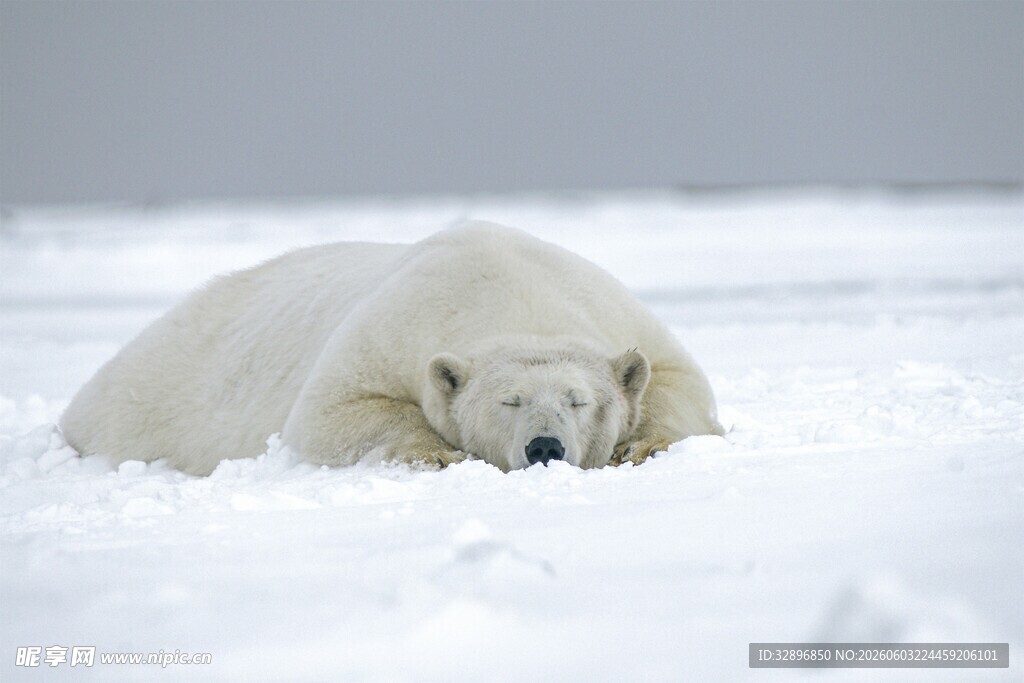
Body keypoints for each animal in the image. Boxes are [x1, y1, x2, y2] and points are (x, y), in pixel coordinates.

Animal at [60, 222, 723, 475]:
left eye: (578, 400)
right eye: (508, 402)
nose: (544, 447)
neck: (511, 290)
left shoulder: (611, 309)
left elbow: (679, 382)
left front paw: (639, 445)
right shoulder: (395, 326)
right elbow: (331, 413)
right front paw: (438, 454)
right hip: (149, 397)